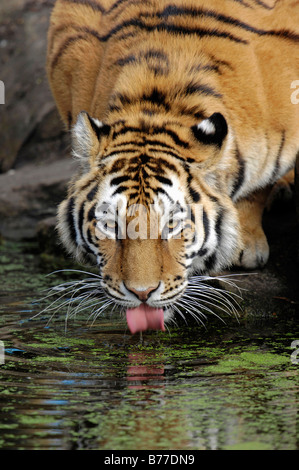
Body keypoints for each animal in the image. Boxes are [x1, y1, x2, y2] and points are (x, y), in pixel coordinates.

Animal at [45, 0, 298, 334]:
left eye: (172, 225)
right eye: (109, 225)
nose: (141, 293)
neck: (155, 105)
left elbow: (256, 188)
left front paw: (246, 246)